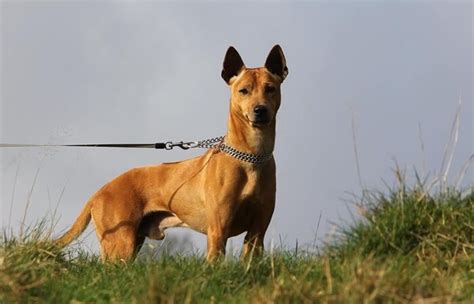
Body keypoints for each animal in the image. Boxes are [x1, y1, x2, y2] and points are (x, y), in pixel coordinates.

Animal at [57, 45, 290, 262]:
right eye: (244, 90)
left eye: (270, 88)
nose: (260, 110)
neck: (251, 157)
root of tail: (98, 193)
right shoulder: (218, 230)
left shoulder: (257, 232)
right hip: (120, 243)